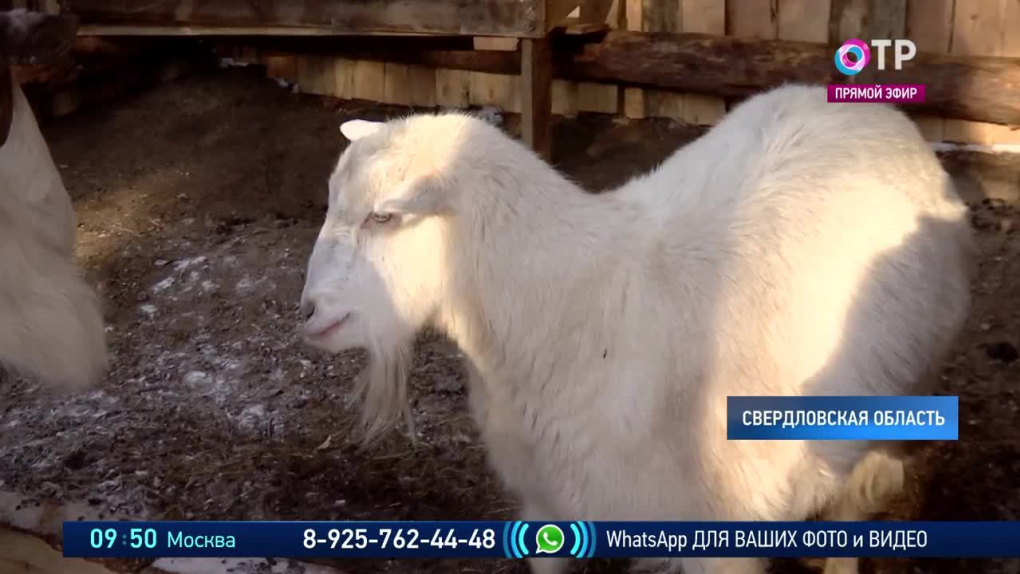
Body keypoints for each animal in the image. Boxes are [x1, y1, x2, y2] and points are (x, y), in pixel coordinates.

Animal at [299, 84, 971, 574]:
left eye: (384, 217)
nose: (305, 311)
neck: (575, 311)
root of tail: (866, 107)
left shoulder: (723, 531)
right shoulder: (549, 502)